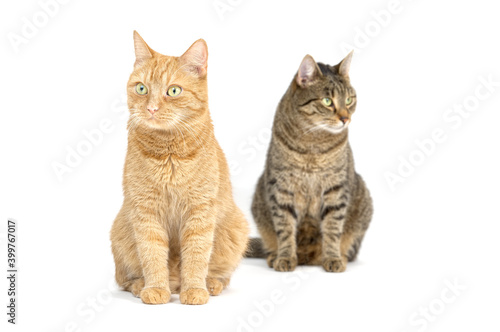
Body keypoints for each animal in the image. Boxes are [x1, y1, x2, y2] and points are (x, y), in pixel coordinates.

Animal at [110, 32, 249, 304]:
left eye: (173, 91)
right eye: (141, 88)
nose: (151, 108)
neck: (169, 154)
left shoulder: (200, 212)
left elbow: (196, 256)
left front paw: (194, 290)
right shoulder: (146, 211)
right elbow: (152, 254)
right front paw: (155, 289)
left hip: (236, 228)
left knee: (221, 274)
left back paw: (209, 284)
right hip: (120, 230)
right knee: (125, 279)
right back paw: (142, 285)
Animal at [248, 52, 374, 272]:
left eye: (349, 100)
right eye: (327, 101)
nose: (345, 118)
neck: (312, 145)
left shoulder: (336, 189)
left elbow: (332, 228)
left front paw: (332, 258)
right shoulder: (281, 189)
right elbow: (285, 228)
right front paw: (285, 257)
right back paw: (274, 256)